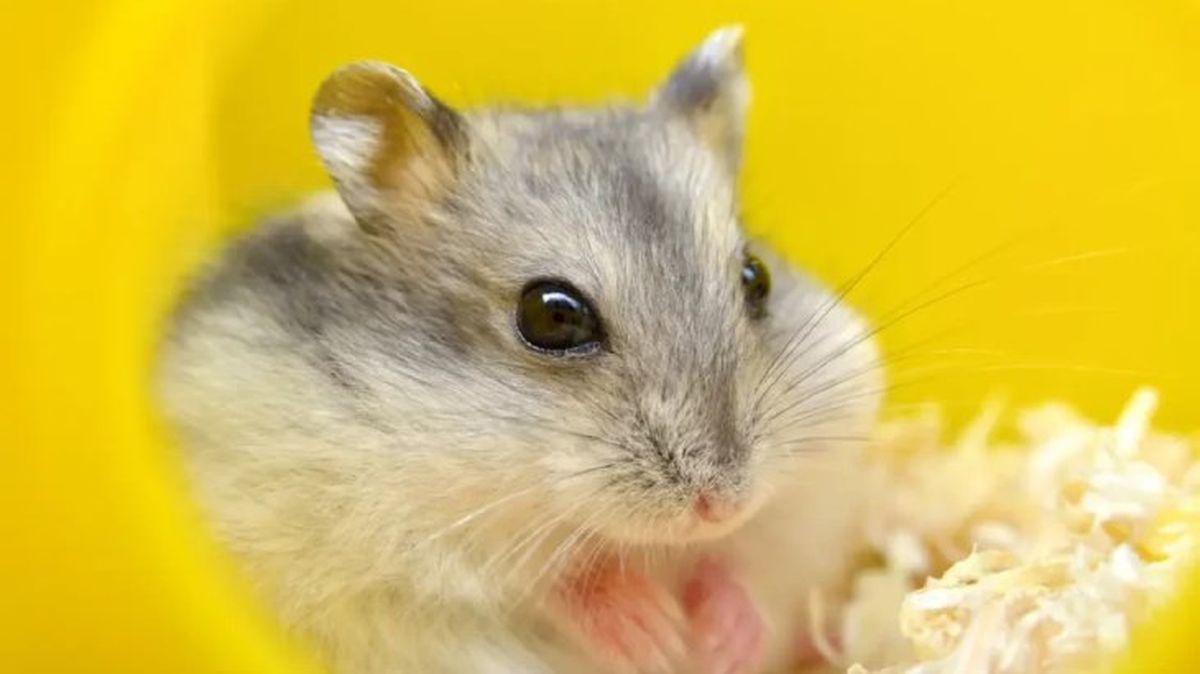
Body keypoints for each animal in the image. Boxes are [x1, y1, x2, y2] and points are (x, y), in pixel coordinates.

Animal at [158, 26, 882, 674]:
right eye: (552, 315)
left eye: (756, 277)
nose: (721, 504)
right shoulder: (383, 529)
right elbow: (552, 582)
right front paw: (655, 635)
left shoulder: (808, 505)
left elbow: (747, 565)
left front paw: (724, 642)